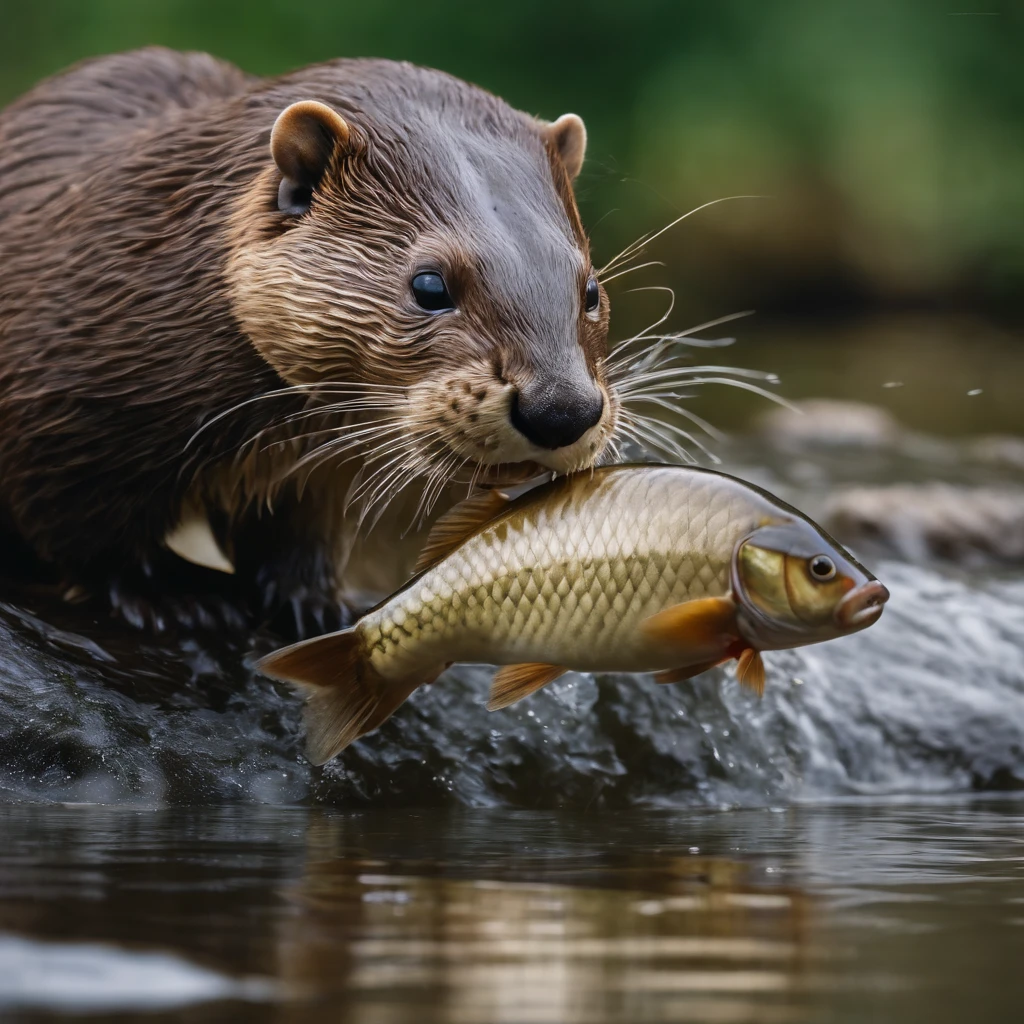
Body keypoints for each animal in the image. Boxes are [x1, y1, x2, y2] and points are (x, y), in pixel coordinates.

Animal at [0, 51, 614, 634]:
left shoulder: (317, 480)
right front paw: (170, 597)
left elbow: (300, 538)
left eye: (590, 289)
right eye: (429, 285)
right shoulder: (62, 420)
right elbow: (84, 529)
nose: (561, 408)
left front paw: (317, 606)